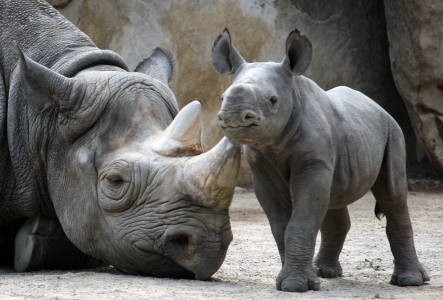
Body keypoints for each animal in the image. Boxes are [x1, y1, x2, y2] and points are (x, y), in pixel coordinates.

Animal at [212, 29, 430, 292]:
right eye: (222, 97)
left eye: (273, 100)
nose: (234, 116)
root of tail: (377, 106)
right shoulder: (261, 169)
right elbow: (281, 226)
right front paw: (291, 280)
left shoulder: (313, 162)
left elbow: (301, 221)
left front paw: (295, 285)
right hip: (355, 133)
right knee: (334, 197)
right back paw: (325, 272)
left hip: (392, 131)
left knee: (393, 196)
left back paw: (410, 281)